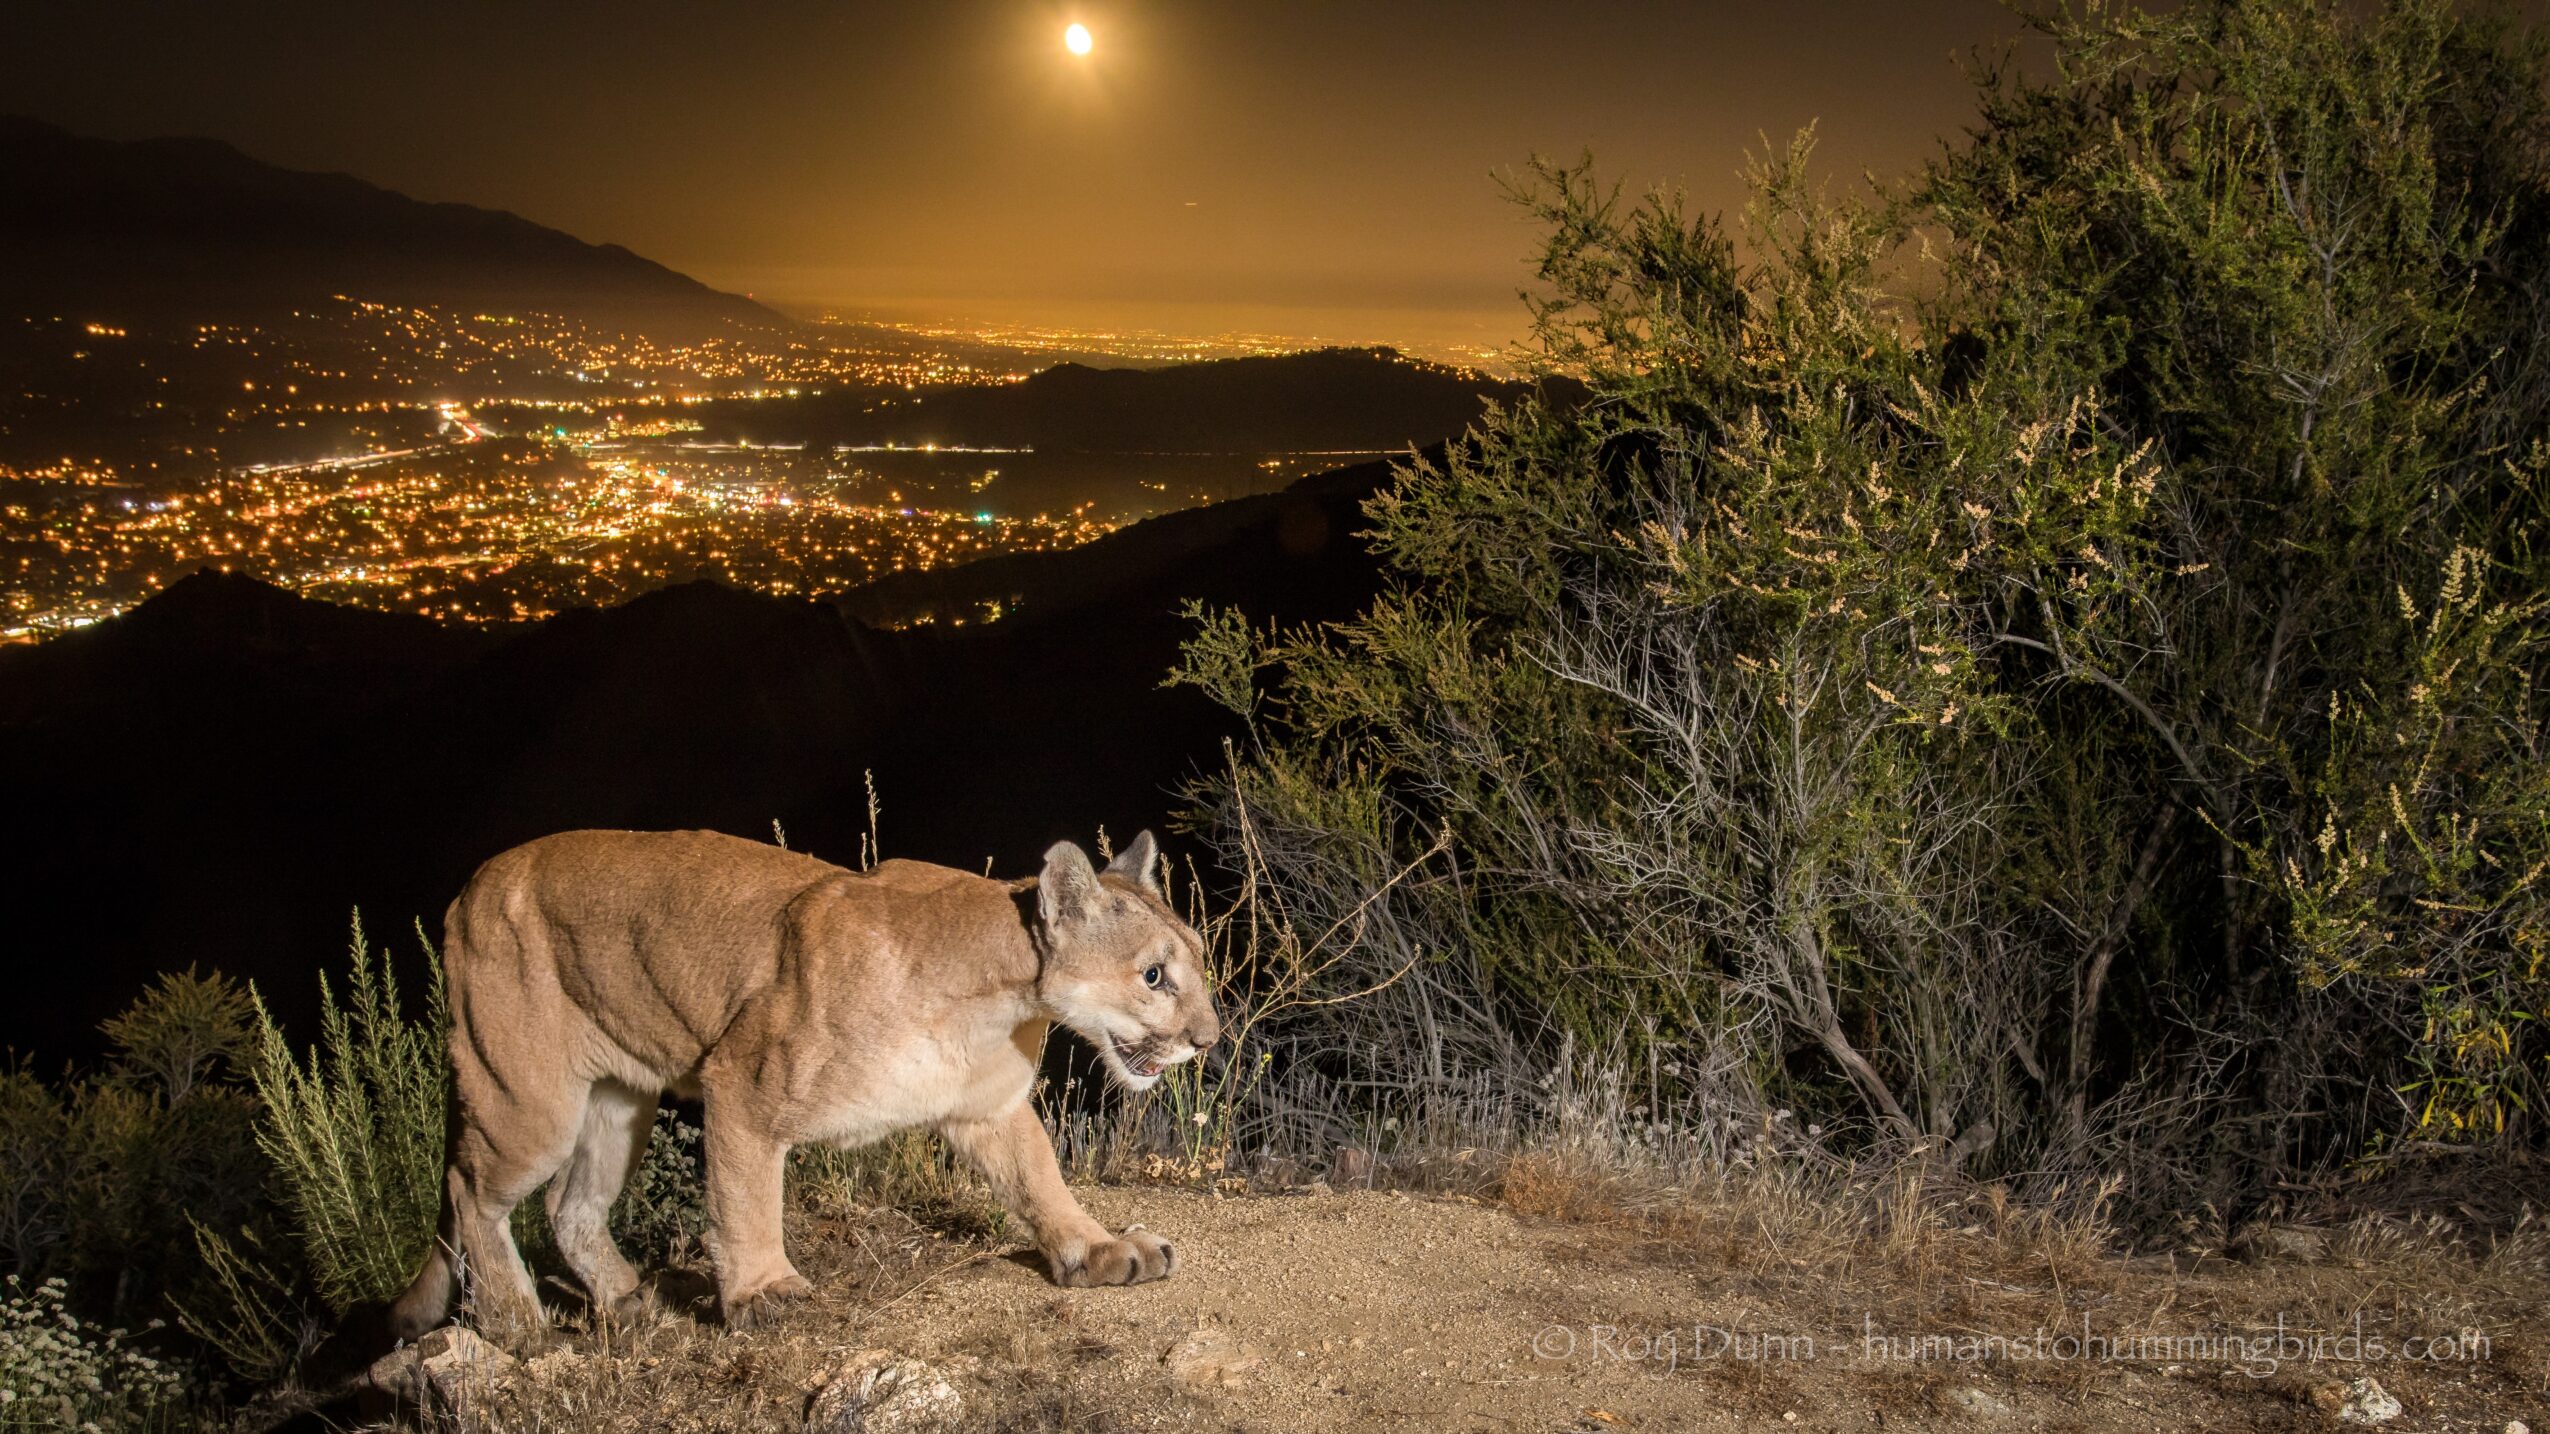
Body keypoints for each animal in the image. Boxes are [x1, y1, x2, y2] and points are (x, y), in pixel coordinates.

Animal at [388, 827, 1219, 1341]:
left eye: (1200, 960)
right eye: (1153, 975)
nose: (1208, 1039)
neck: (997, 994)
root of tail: (472, 884)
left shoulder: (987, 1108)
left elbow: (1042, 1180)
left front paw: (1099, 1248)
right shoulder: (742, 1083)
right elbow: (746, 1198)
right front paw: (763, 1292)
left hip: (618, 1102)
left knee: (569, 1207)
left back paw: (628, 1300)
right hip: (526, 1099)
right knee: (471, 1193)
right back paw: (518, 1325)